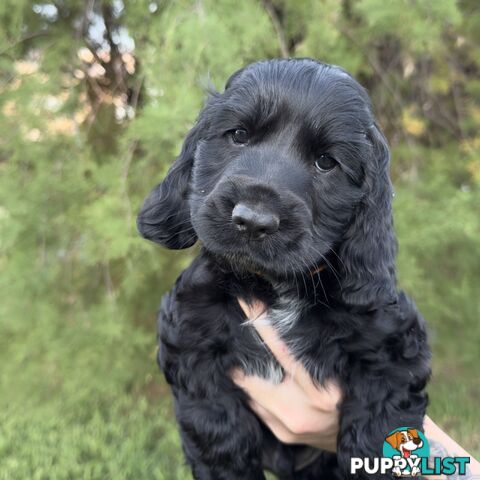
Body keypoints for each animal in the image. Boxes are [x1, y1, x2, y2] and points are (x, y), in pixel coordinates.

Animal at [137, 58, 430, 478]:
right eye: (238, 135)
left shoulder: (393, 351)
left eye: (326, 162)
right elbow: (217, 436)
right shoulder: (190, 342)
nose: (253, 221)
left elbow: (376, 435)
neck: (274, 289)